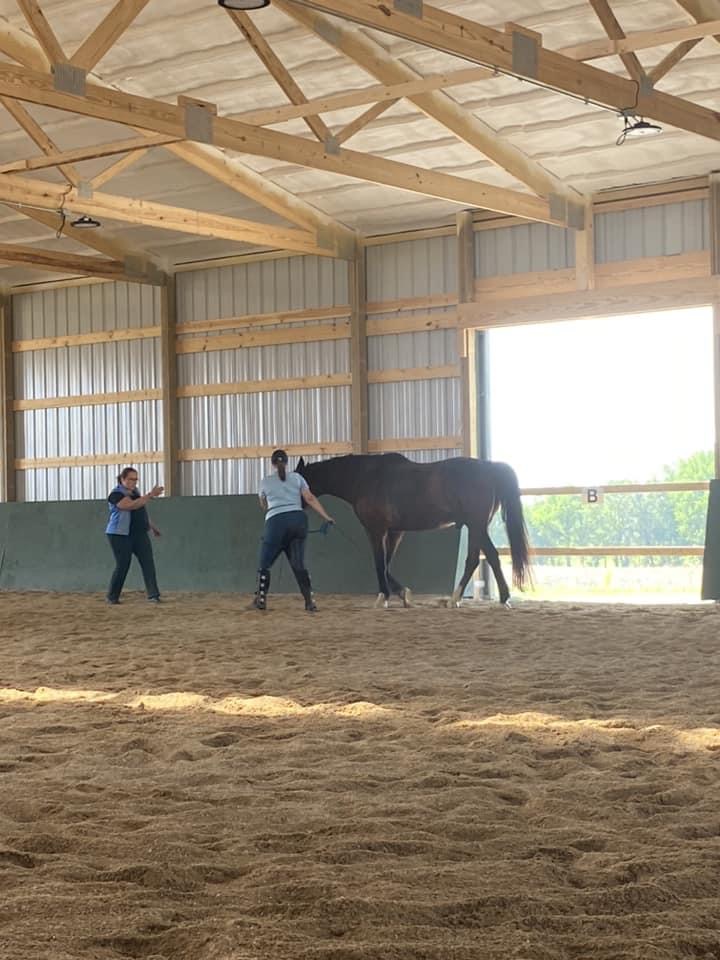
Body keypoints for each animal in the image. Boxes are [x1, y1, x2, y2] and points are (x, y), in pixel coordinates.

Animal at [296, 453, 531, 608]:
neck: (365, 477)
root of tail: (489, 468)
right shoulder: (394, 532)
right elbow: (386, 564)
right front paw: (403, 594)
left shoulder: (376, 530)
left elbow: (379, 563)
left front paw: (383, 597)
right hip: (477, 527)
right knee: (487, 556)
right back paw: (498, 598)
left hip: (476, 526)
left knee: (480, 557)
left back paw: (457, 599)